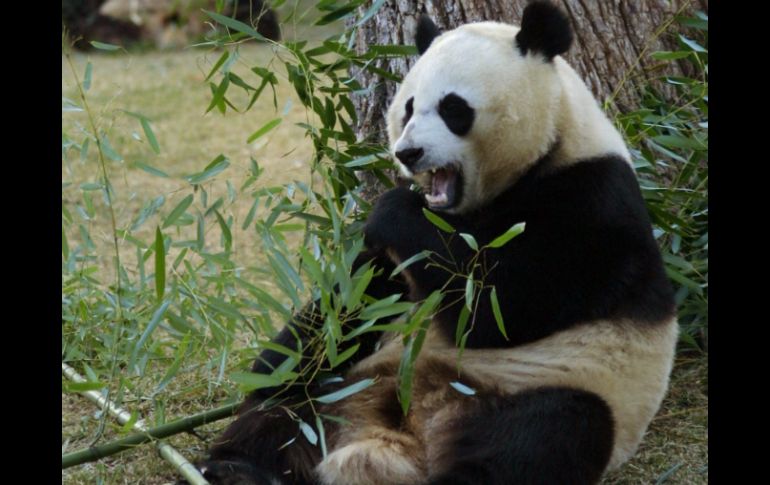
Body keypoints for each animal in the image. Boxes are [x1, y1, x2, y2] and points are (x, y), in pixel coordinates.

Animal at [189, 1, 676, 482]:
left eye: (453, 108)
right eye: (407, 108)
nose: (408, 153)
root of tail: (403, 432)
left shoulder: (592, 200)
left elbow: (501, 305)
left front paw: (392, 209)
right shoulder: (393, 272)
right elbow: (346, 305)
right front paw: (274, 365)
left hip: (545, 384)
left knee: (542, 432)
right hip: (342, 388)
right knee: (286, 415)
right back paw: (234, 467)